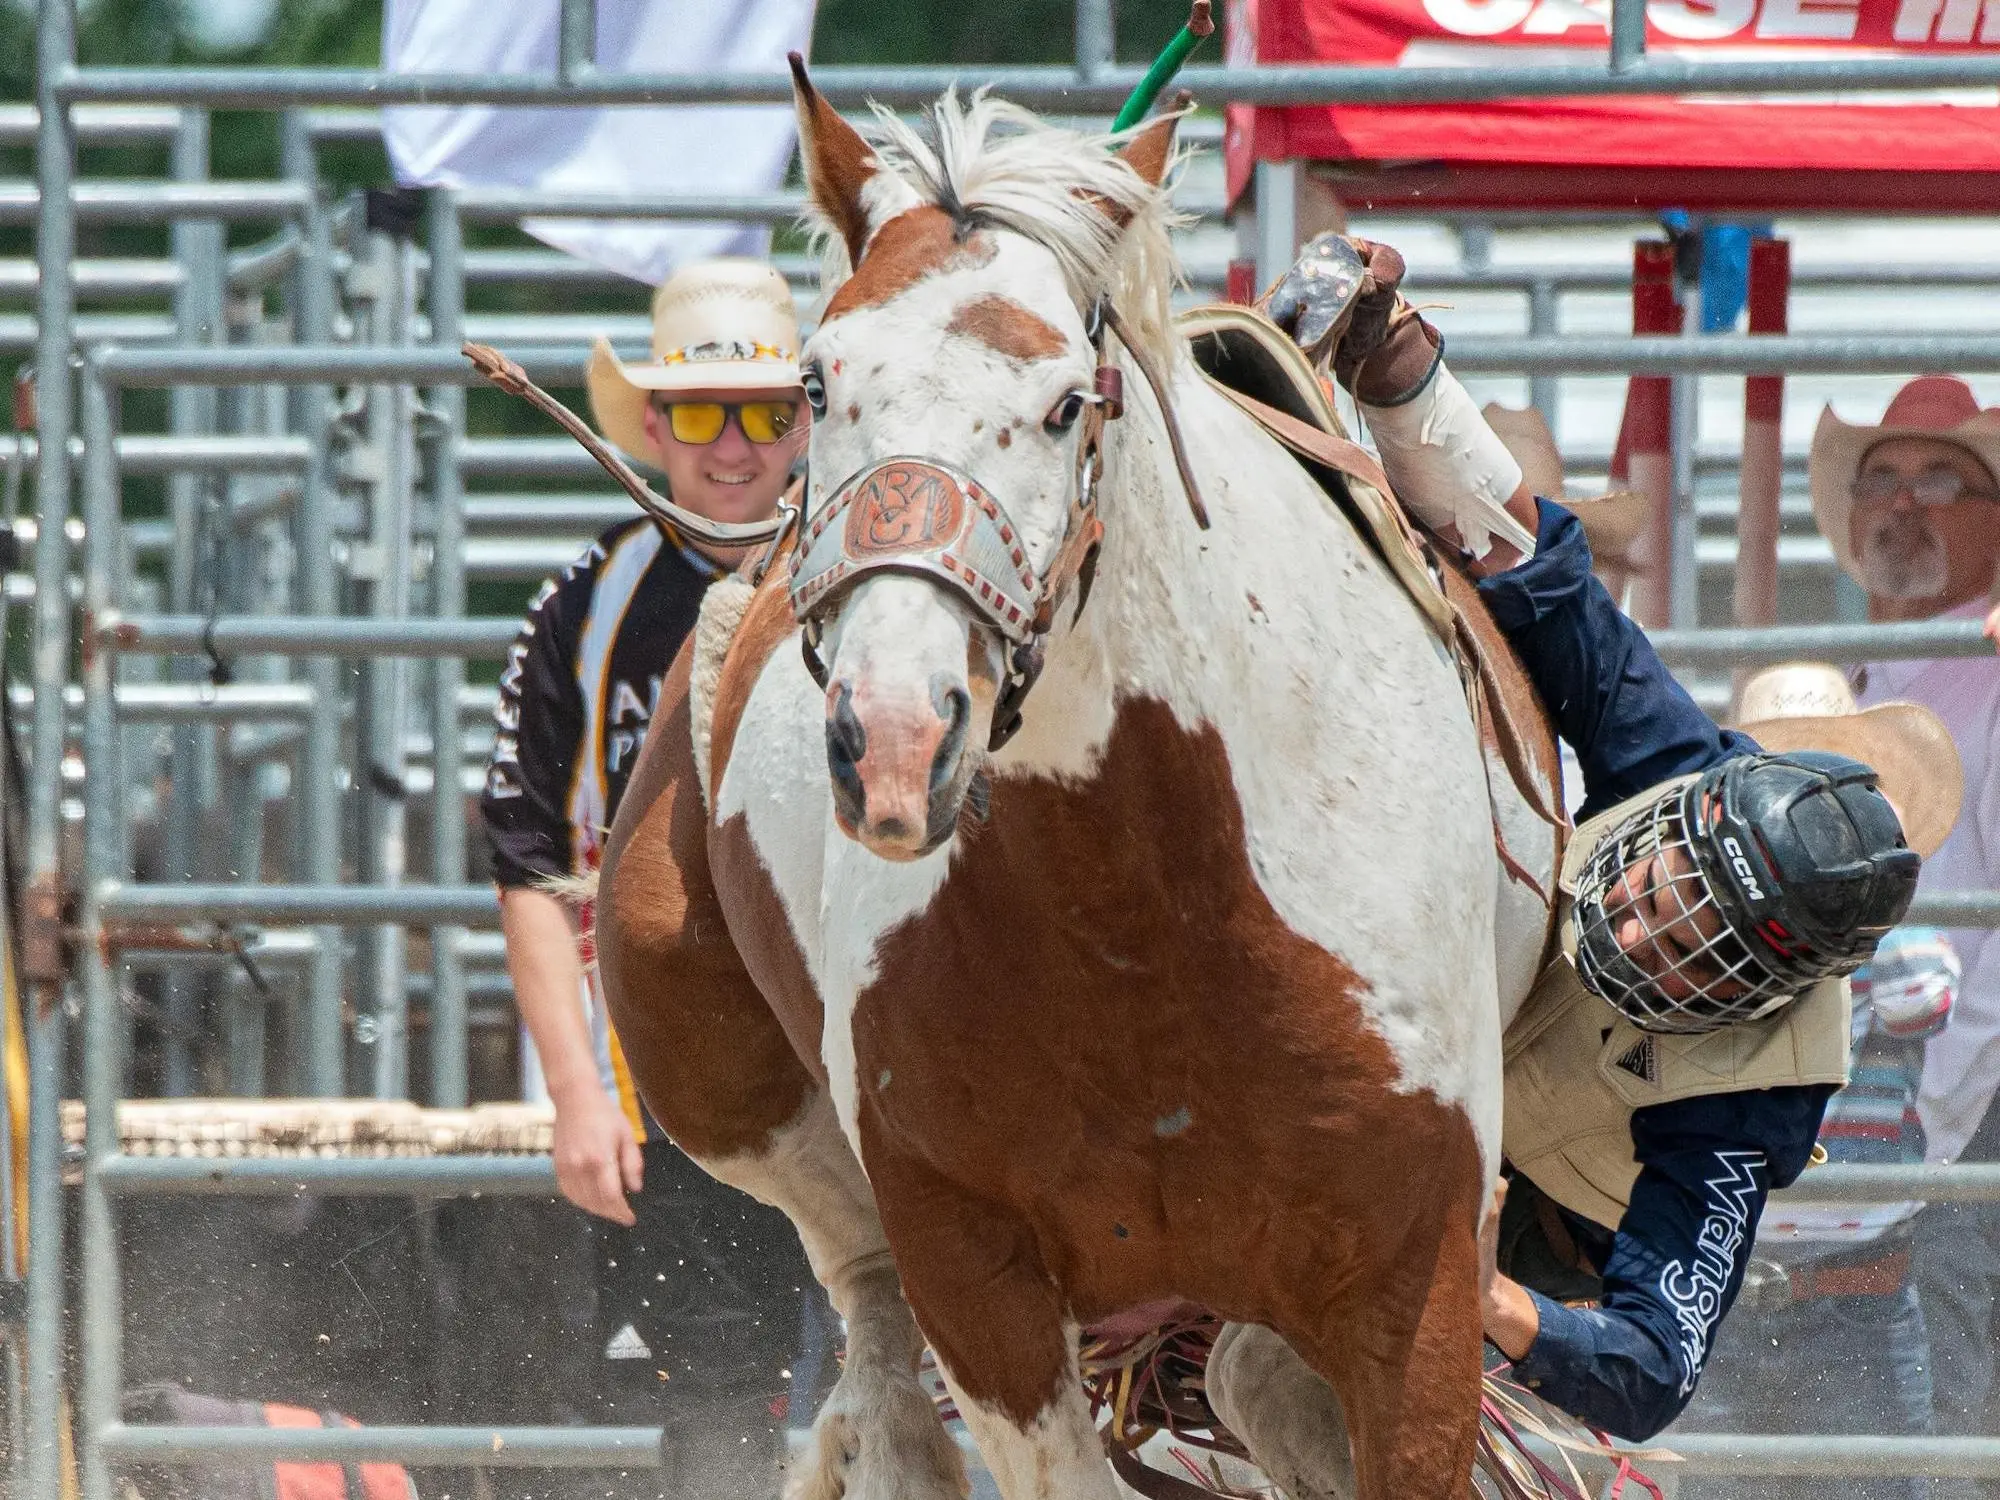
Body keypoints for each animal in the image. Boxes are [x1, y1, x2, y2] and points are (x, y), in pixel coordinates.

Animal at [592, 64, 1560, 1500]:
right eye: (816, 384)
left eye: (1065, 401)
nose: (892, 738)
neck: (1146, 901)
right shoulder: (972, 1267)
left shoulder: (1423, 1264)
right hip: (733, 1091)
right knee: (864, 1304)